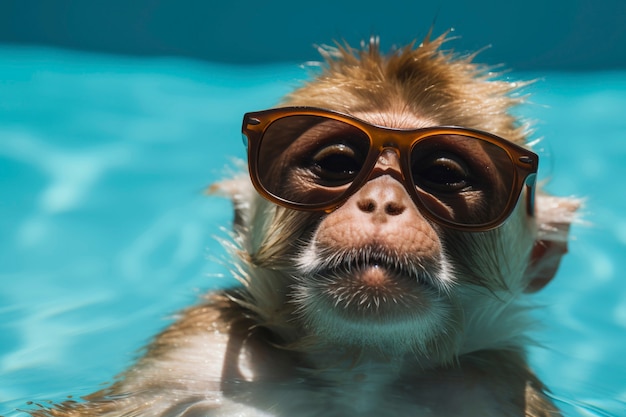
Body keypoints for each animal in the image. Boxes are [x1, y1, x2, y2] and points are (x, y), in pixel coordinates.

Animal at [26, 32, 576, 416]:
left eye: (442, 176)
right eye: (337, 164)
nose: (381, 202)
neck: (362, 369)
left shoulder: (500, 386)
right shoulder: (192, 353)